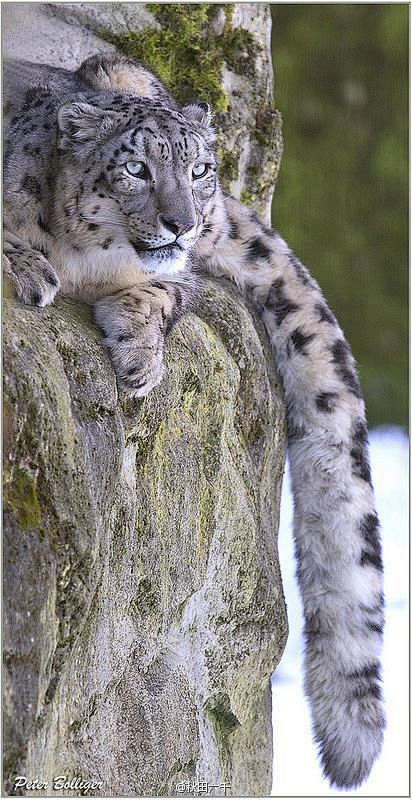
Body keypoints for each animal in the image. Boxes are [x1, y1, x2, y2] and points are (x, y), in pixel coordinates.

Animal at [3, 53, 384, 792]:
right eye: (136, 167)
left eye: (201, 167)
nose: (181, 221)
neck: (87, 260)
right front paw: (29, 270)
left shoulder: (169, 274)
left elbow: (168, 290)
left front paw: (139, 354)